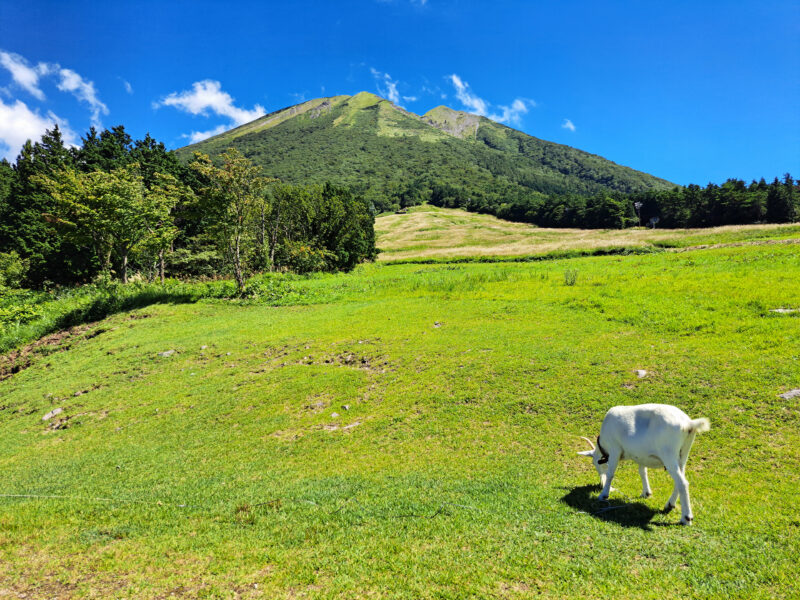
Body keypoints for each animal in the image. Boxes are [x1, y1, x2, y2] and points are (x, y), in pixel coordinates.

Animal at [580, 404, 708, 524]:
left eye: (597, 464)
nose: (601, 484)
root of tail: (689, 424)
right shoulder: (642, 456)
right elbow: (642, 471)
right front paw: (646, 493)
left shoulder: (614, 449)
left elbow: (611, 473)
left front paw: (604, 495)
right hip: (683, 454)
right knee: (680, 479)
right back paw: (670, 505)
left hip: (669, 454)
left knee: (683, 483)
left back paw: (686, 518)